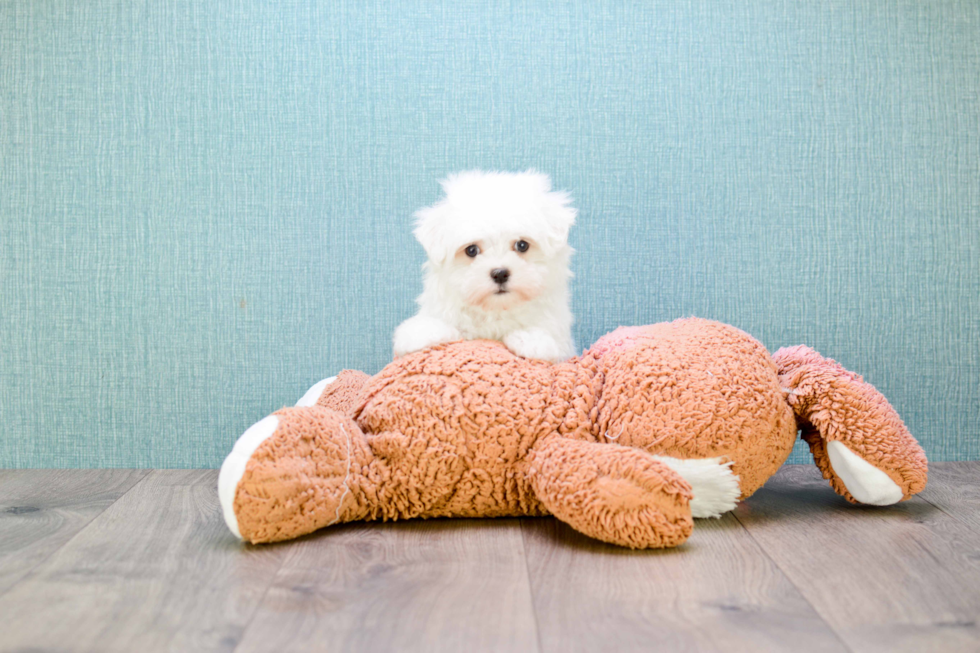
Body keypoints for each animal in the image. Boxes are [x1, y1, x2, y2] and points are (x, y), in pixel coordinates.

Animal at [390, 169, 576, 362]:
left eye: (522, 245)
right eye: (471, 250)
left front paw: (532, 340)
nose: (500, 273)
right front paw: (420, 332)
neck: (495, 310)